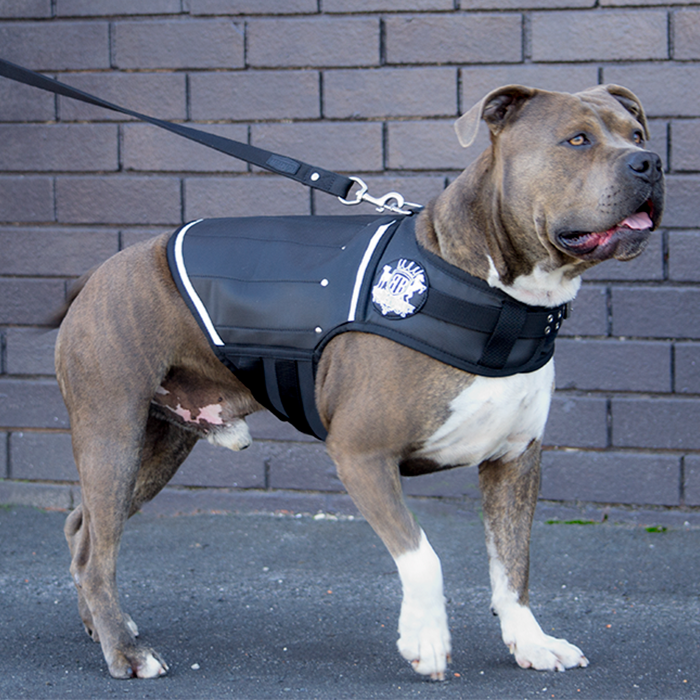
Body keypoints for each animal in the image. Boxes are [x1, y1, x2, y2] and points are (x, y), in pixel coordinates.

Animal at [53, 85, 660, 680]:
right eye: (576, 139)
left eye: (636, 134)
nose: (650, 162)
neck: (499, 298)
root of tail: (99, 273)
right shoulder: (362, 453)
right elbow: (423, 555)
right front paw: (426, 639)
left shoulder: (514, 461)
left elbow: (513, 566)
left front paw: (531, 643)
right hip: (113, 432)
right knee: (99, 551)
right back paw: (126, 654)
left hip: (158, 446)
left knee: (84, 529)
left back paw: (106, 628)